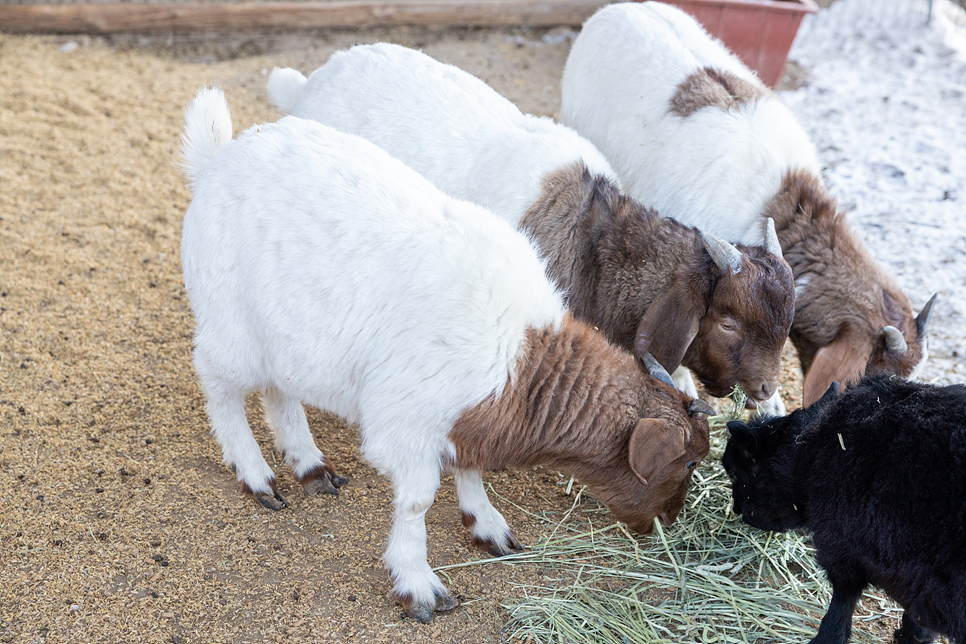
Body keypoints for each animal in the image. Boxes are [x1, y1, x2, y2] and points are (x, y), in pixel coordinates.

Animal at [728, 378, 966, 644]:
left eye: (736, 474)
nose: (737, 509)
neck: (812, 449)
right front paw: (915, 636)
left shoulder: (840, 545)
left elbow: (843, 598)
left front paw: (827, 636)